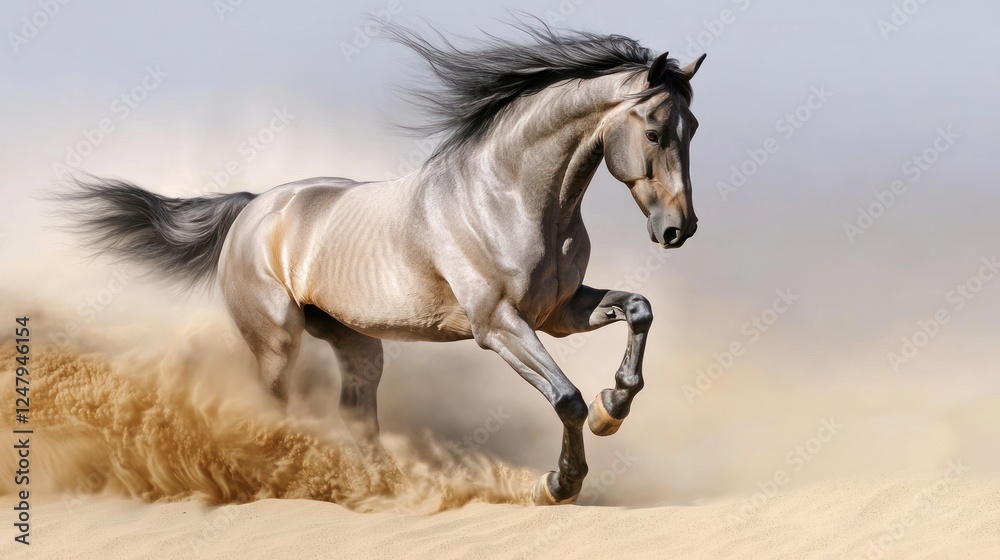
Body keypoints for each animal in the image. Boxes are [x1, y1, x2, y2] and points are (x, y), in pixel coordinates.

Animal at [60, 22, 706, 505]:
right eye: (654, 132)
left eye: (693, 127)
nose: (678, 230)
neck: (510, 197)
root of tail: (254, 207)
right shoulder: (498, 325)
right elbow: (565, 397)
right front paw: (558, 484)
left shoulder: (560, 313)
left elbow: (639, 310)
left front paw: (612, 409)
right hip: (277, 342)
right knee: (273, 407)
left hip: (356, 343)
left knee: (356, 417)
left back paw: (380, 491)